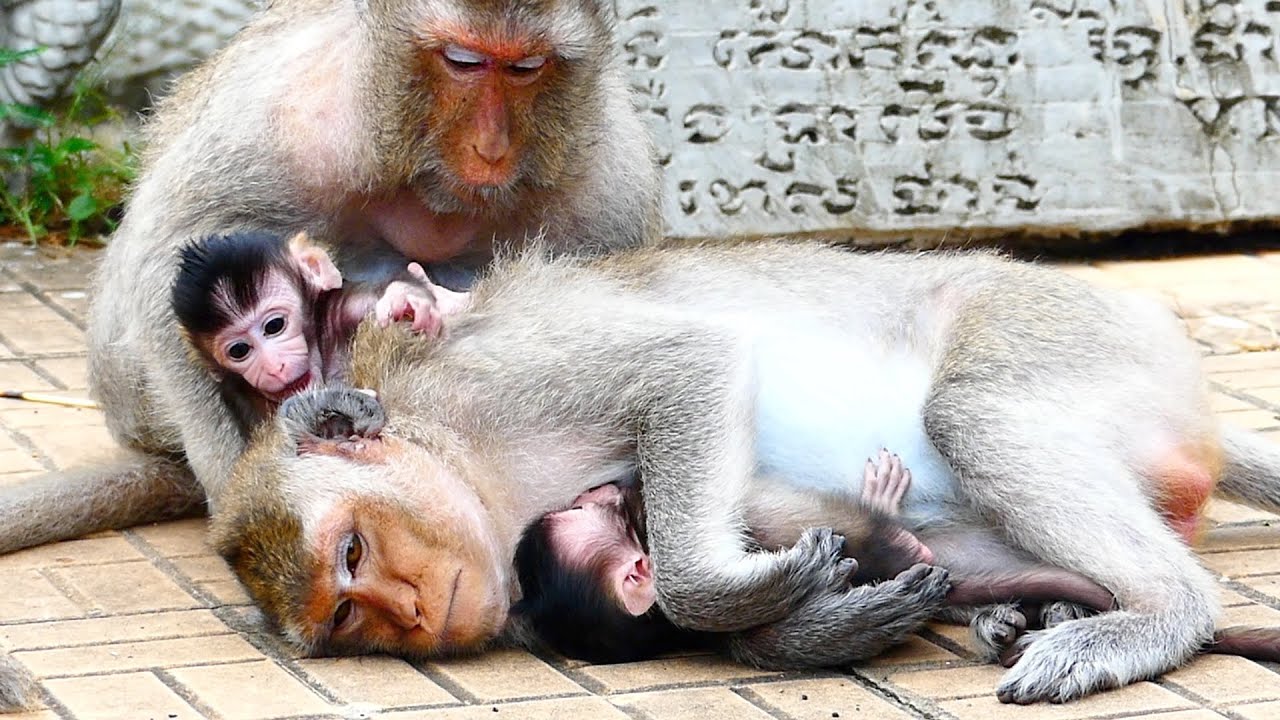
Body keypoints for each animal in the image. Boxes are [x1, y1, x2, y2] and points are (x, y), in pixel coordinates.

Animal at [170, 230, 468, 432]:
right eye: (239, 350)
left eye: (274, 326)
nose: (274, 367)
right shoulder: (236, 393)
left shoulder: (349, 306)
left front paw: (404, 297)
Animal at [207, 241, 1280, 703]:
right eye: (350, 621)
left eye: (352, 553)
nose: (412, 610)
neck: (460, 454)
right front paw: (816, 617)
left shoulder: (490, 382)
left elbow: (688, 364)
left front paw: (733, 596)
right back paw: (1039, 606)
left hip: (1078, 335)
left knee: (971, 413)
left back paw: (1154, 615)